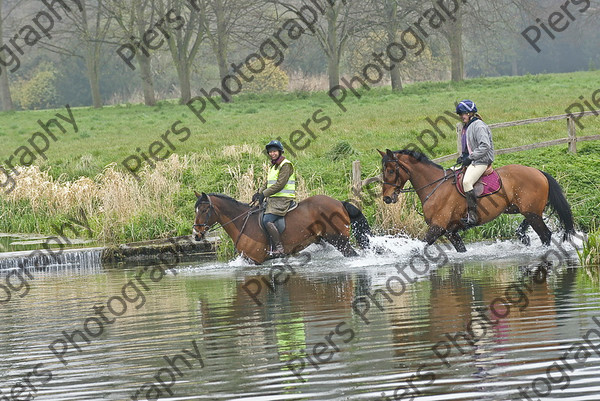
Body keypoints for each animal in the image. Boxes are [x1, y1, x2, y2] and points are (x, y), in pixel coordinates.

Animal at [192, 191, 370, 262]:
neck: (242, 222)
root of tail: (339, 203)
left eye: (204, 210)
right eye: (196, 210)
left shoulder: (254, 260)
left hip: (339, 240)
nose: (196, 234)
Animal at [380, 148, 576, 252]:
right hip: (528, 211)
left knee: (546, 235)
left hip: (532, 213)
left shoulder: (437, 227)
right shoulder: (450, 231)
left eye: (390, 170)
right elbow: (461, 249)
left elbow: (419, 247)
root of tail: (539, 172)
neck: (434, 186)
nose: (387, 198)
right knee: (526, 229)